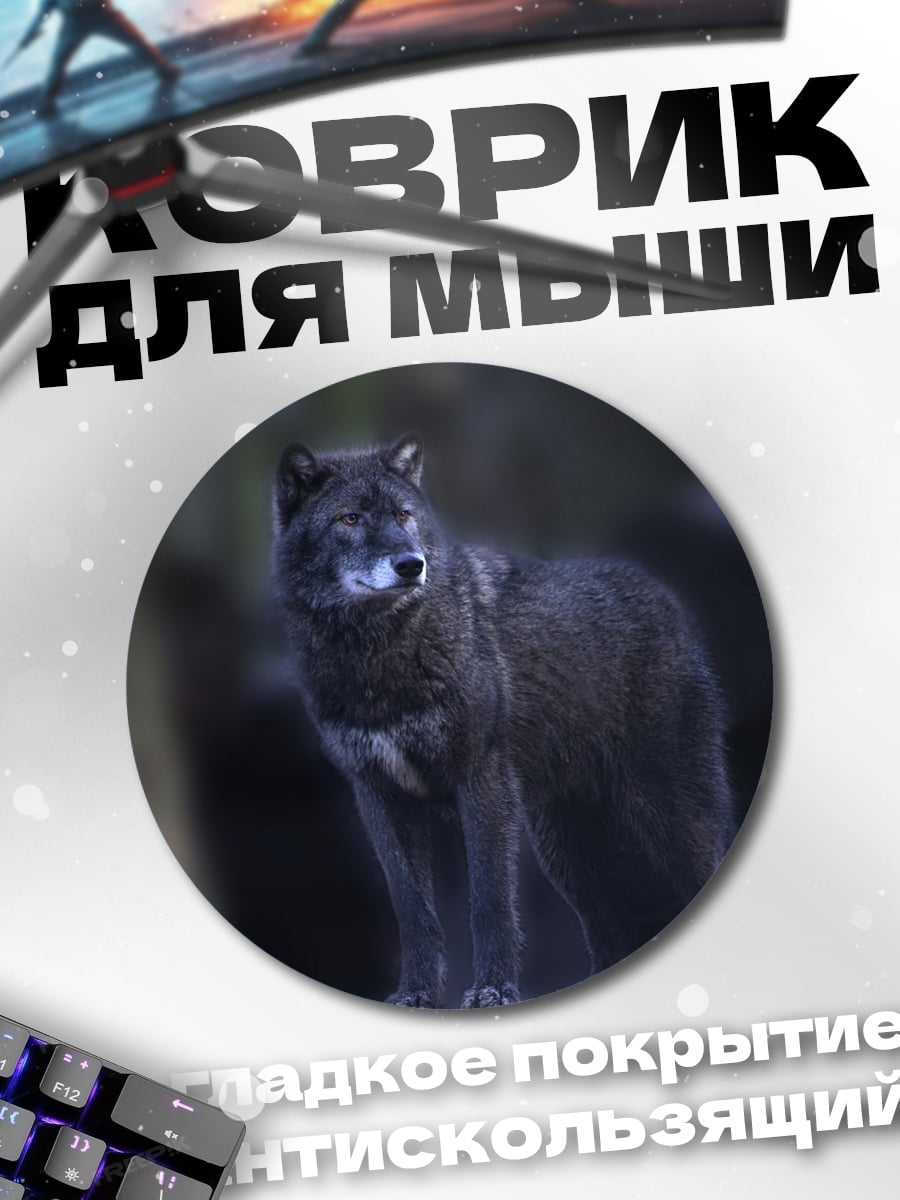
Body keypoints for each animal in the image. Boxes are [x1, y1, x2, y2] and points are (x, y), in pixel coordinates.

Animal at [271, 433, 732, 1008]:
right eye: (350, 518)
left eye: (403, 515)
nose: (411, 564)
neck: (377, 657)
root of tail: (666, 598)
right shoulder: (377, 795)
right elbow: (412, 911)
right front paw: (415, 995)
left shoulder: (481, 780)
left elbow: (489, 900)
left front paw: (493, 991)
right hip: (571, 851)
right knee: (611, 933)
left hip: (667, 820)